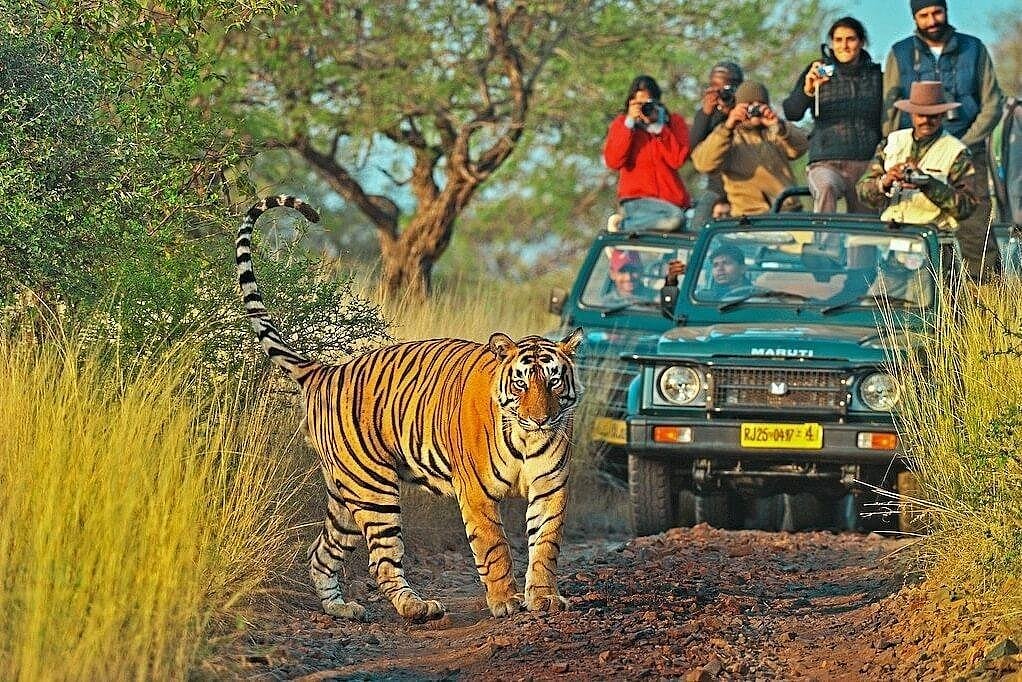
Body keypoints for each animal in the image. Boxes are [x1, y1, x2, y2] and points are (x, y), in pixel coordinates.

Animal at [236, 195, 584, 622]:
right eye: (521, 384)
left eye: (553, 381)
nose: (540, 419)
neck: (525, 438)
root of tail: (326, 370)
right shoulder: (477, 494)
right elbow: (495, 548)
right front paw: (505, 601)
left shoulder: (550, 487)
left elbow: (546, 546)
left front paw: (545, 598)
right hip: (373, 488)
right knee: (382, 561)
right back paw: (417, 607)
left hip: (345, 495)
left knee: (321, 553)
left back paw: (341, 609)